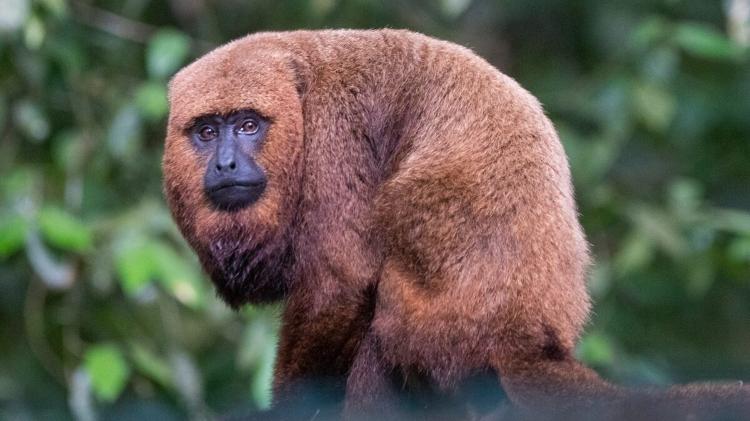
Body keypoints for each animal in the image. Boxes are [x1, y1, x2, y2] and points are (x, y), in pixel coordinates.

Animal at [164, 27, 750, 418]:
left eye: (248, 125)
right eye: (206, 132)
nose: (226, 164)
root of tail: (524, 334)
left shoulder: (335, 129)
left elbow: (340, 281)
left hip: (444, 348)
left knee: (382, 329)